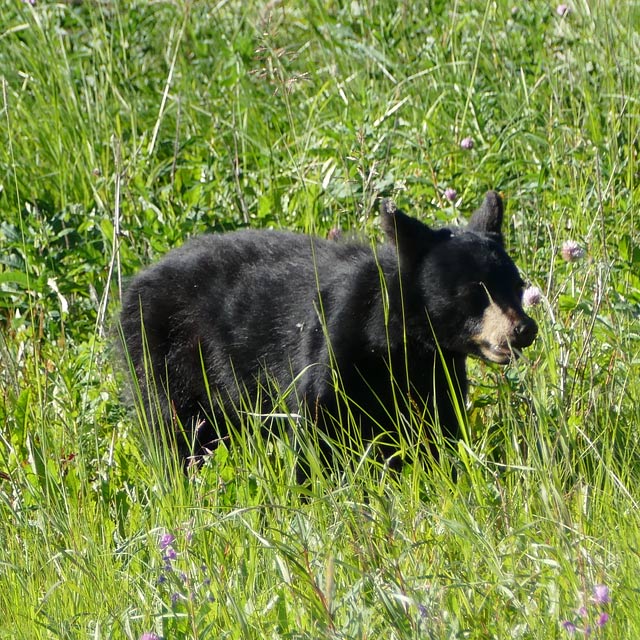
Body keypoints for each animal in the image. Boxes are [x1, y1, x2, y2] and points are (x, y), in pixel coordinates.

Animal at [119, 190, 536, 470]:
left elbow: (438, 430)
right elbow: (316, 430)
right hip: (167, 358)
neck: (399, 342)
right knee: (177, 429)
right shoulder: (335, 348)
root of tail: (135, 283)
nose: (523, 329)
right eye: (473, 292)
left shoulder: (435, 372)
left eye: (516, 285)